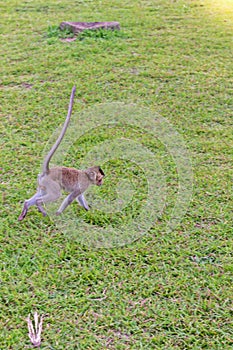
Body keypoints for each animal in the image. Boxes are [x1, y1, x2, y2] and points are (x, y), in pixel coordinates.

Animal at [18, 85, 104, 221]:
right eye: (100, 178)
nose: (101, 183)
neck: (86, 175)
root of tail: (47, 172)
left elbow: (80, 197)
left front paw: (88, 210)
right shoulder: (83, 184)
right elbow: (71, 198)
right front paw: (59, 213)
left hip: (43, 183)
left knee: (40, 193)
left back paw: (26, 206)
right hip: (51, 184)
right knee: (54, 195)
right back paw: (39, 206)